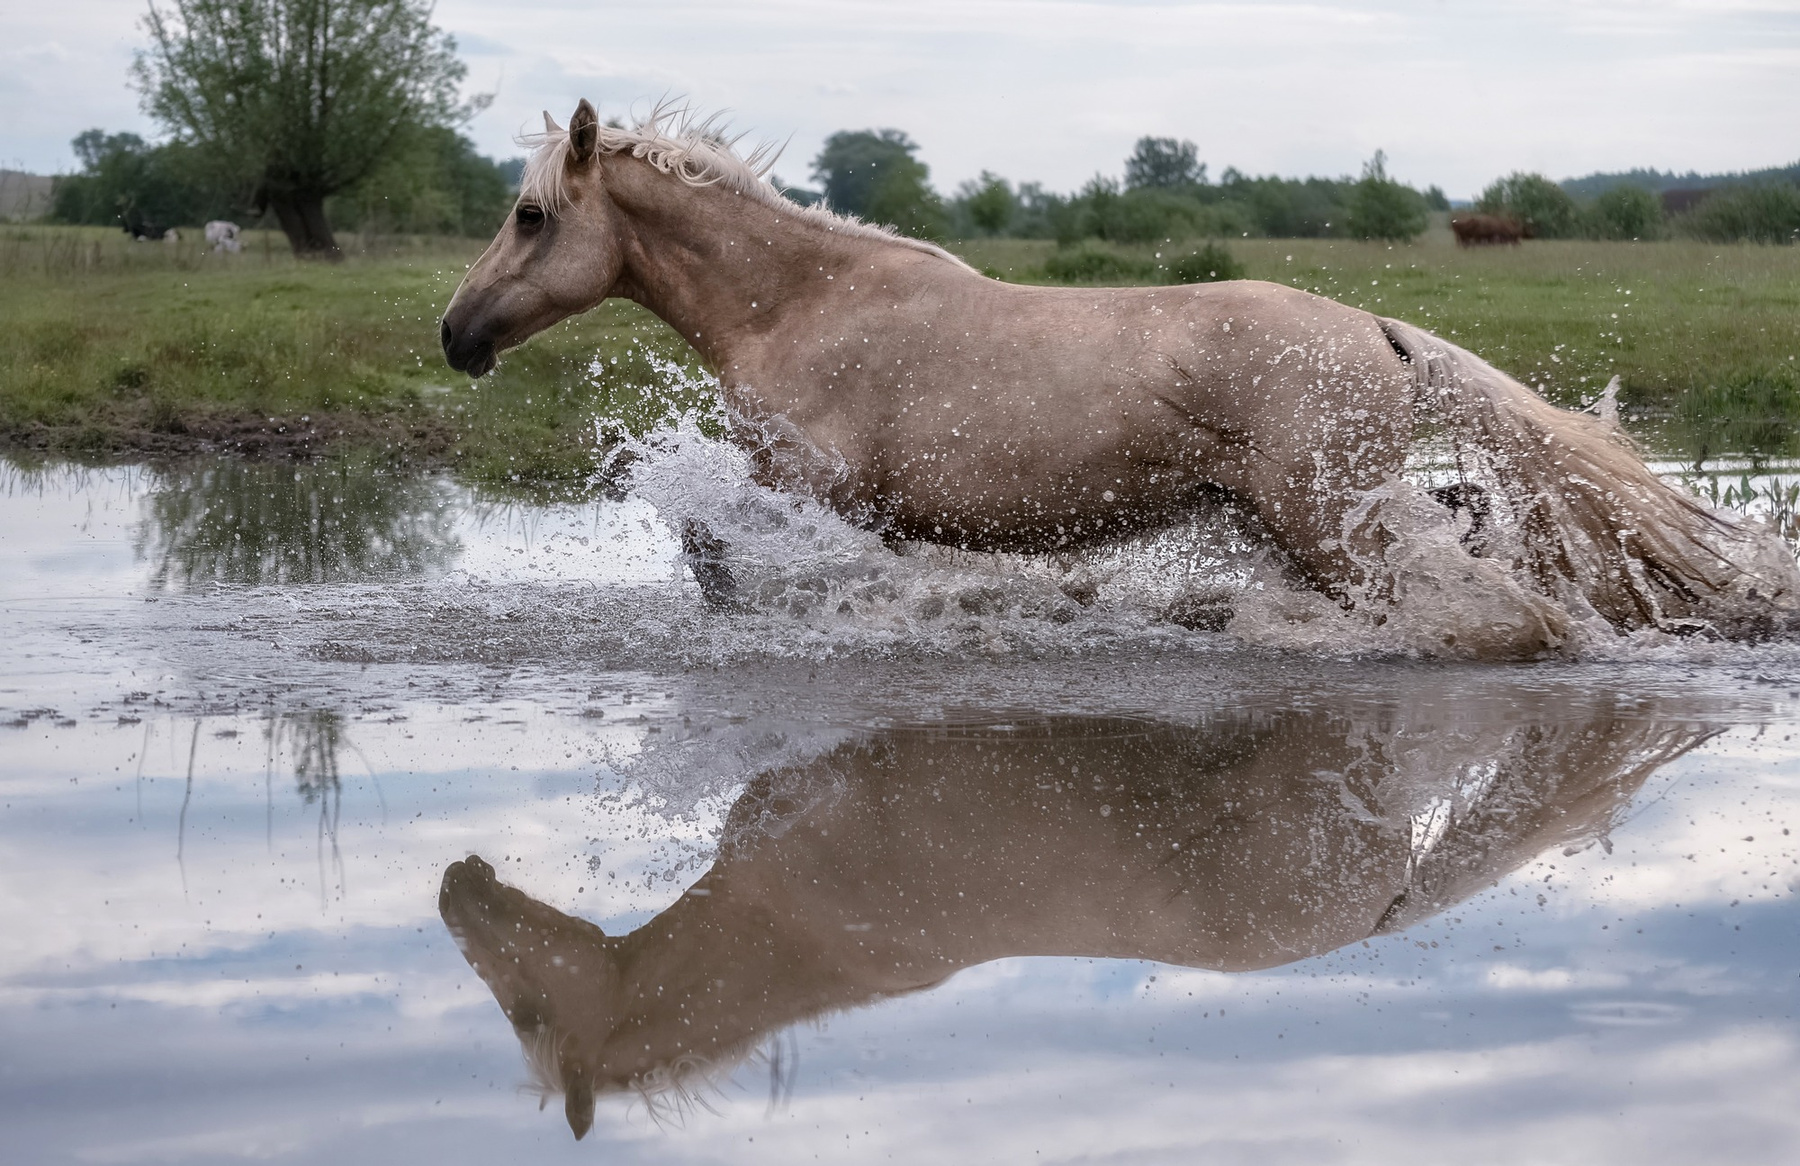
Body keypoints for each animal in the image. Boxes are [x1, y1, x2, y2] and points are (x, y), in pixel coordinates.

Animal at [440, 101, 1799, 656]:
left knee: (1498, 616)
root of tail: (1378, 334)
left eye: (528, 214)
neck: (810, 303)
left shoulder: (817, 493)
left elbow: (726, 557)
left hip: (1333, 524)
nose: (455, 334)